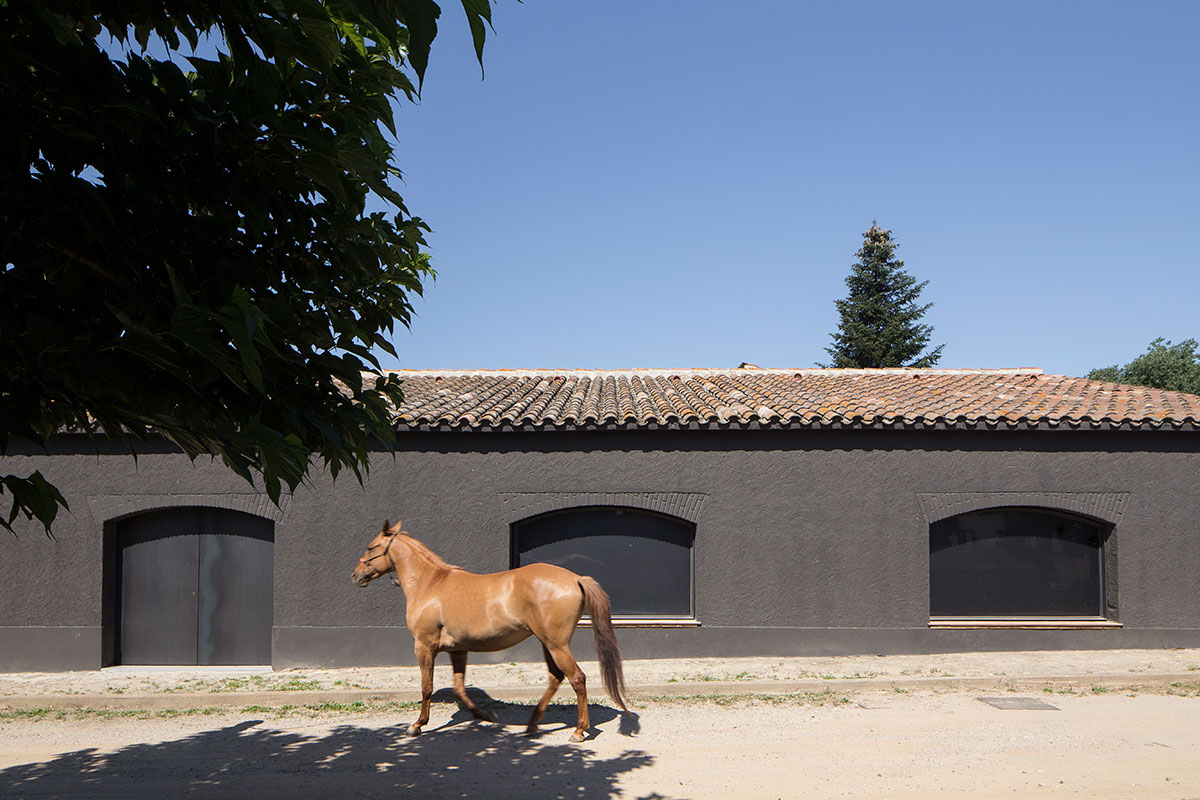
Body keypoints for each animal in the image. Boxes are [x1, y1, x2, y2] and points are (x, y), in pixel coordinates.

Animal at [350, 522, 624, 743]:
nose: (356, 576)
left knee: (577, 678)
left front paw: (417, 725)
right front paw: (485, 715)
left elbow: (426, 686)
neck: (430, 584)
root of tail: (576, 578)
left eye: (371, 547)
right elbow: (460, 688)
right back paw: (533, 723)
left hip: (556, 644)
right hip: (547, 643)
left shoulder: (424, 646)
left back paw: (578, 731)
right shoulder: (458, 650)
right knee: (556, 677)